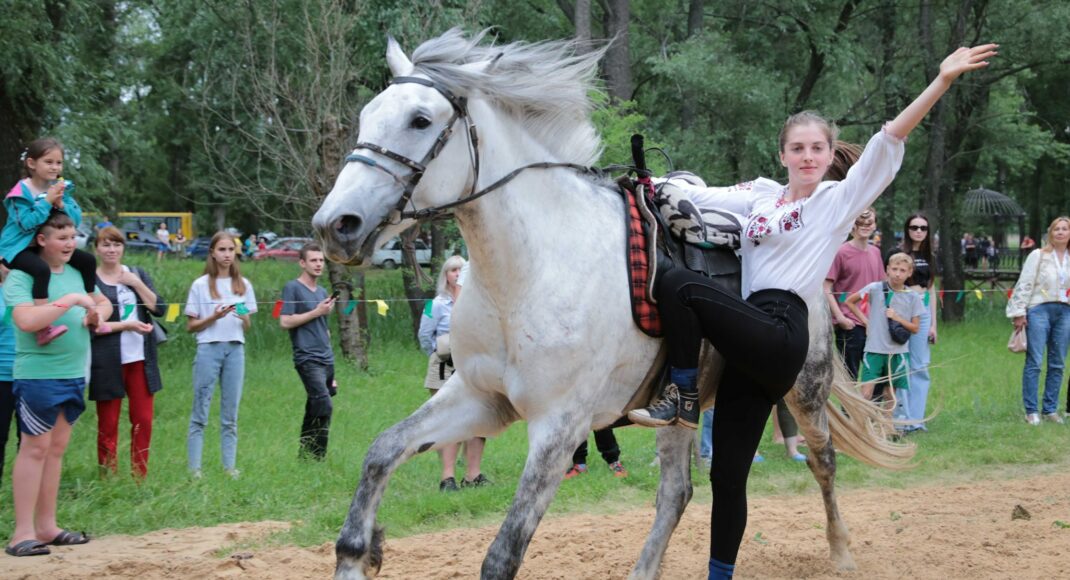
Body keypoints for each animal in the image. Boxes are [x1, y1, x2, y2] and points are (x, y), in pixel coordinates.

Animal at [312, 29, 911, 577]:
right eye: (368, 115)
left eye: (419, 120)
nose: (335, 225)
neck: (527, 276)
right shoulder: (480, 399)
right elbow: (382, 453)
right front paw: (361, 552)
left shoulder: (558, 427)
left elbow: (503, 555)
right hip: (684, 411)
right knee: (677, 493)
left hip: (802, 390)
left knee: (823, 461)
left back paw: (842, 552)